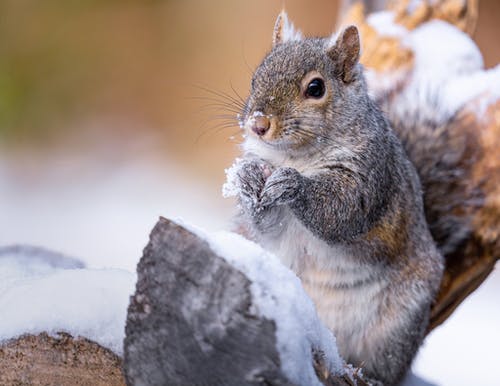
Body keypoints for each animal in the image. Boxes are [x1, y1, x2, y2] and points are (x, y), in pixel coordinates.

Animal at [225, 10, 444, 384]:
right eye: (256, 77)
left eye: (316, 88)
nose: (257, 124)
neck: (298, 155)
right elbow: (267, 228)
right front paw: (247, 177)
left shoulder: (368, 174)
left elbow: (341, 211)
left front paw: (292, 185)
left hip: (398, 322)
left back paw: (362, 374)